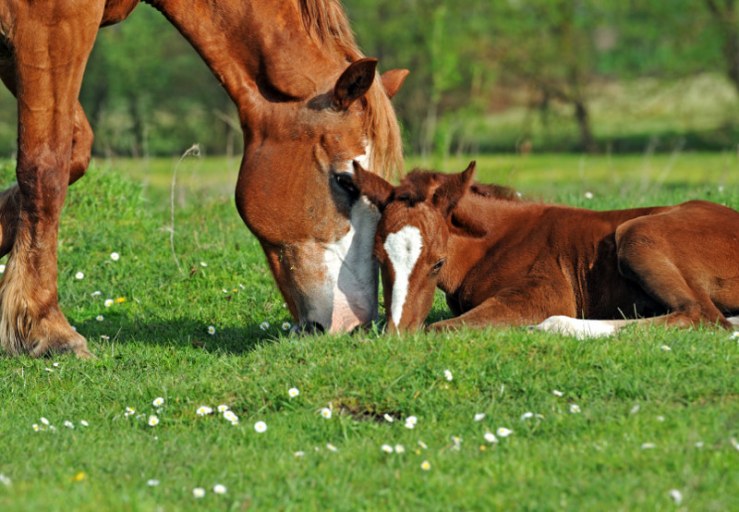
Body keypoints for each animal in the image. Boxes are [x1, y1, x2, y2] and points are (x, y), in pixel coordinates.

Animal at [0, 0, 408, 356]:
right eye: (345, 182)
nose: (355, 325)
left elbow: (75, 150)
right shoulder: (49, 23)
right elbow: (46, 166)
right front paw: (47, 330)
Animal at [344, 160, 739, 336]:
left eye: (437, 263)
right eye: (378, 260)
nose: (397, 334)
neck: (495, 243)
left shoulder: (541, 293)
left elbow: (440, 327)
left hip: (637, 234)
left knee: (700, 314)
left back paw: (558, 326)